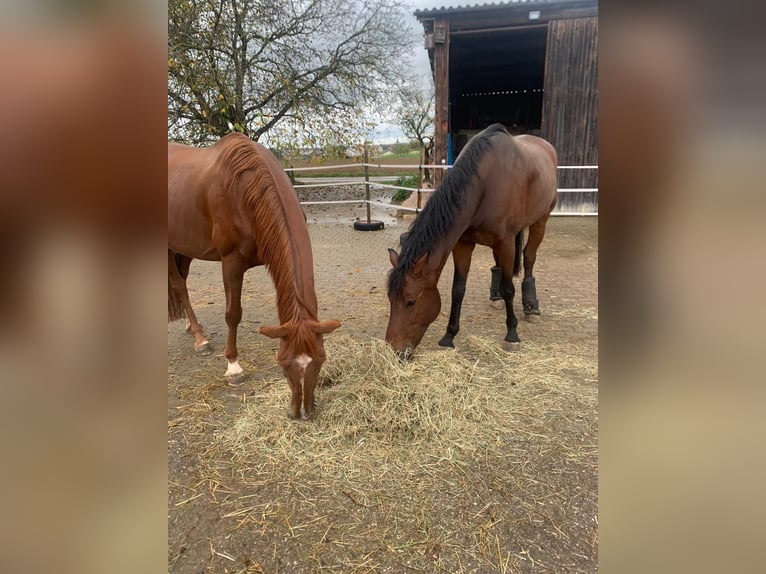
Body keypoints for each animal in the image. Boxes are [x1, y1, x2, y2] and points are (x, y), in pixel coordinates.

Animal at [170, 133, 340, 420]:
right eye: (283, 364)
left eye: (320, 360)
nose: (302, 413)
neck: (243, 190)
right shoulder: (231, 263)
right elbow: (233, 314)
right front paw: (233, 367)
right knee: (178, 285)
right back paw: (200, 339)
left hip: (185, 248)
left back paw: (190, 326)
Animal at [390, 124, 560, 356]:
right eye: (390, 299)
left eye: (411, 301)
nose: (394, 350)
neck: (485, 184)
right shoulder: (463, 245)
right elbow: (457, 289)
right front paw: (449, 336)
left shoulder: (506, 244)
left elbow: (509, 289)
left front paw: (512, 334)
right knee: (499, 265)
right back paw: (496, 298)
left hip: (540, 222)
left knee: (529, 258)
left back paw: (531, 306)